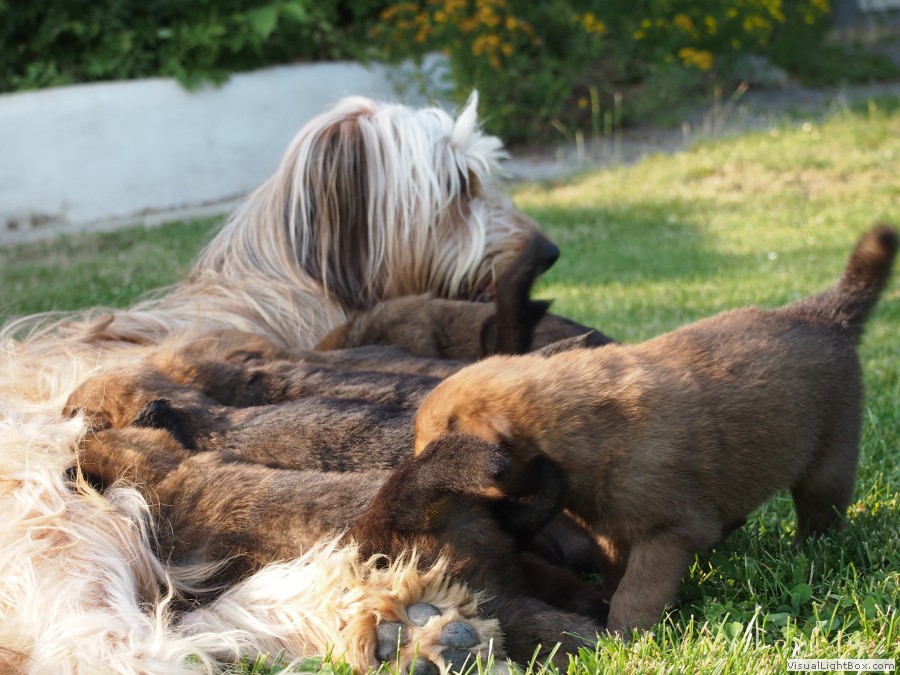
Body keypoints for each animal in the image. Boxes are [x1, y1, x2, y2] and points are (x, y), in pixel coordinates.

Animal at [414, 225, 898, 635]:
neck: (582, 430)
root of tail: (823, 314)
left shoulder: (666, 533)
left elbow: (637, 592)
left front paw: (624, 636)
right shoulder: (611, 531)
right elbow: (615, 572)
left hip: (829, 463)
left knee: (821, 514)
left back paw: (808, 550)